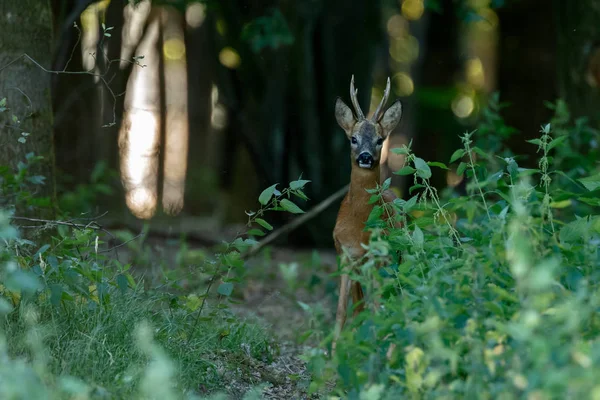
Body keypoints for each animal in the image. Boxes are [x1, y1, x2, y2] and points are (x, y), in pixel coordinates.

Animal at [332, 75, 404, 354]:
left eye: (380, 139)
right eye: (353, 138)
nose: (365, 157)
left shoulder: (376, 256)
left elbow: (376, 307)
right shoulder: (343, 253)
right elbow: (342, 311)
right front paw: (332, 354)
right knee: (362, 305)